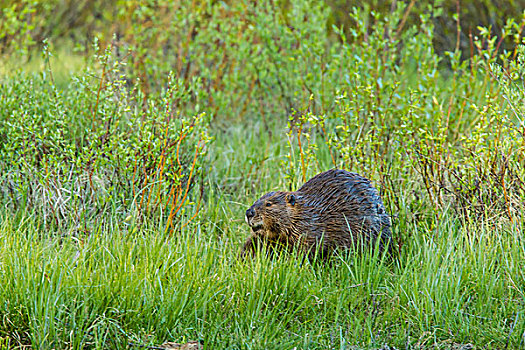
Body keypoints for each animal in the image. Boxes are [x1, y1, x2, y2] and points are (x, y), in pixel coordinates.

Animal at [239, 168, 390, 258]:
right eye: (257, 200)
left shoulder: (310, 229)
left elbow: (308, 249)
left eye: (269, 204)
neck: (306, 212)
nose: (249, 213)